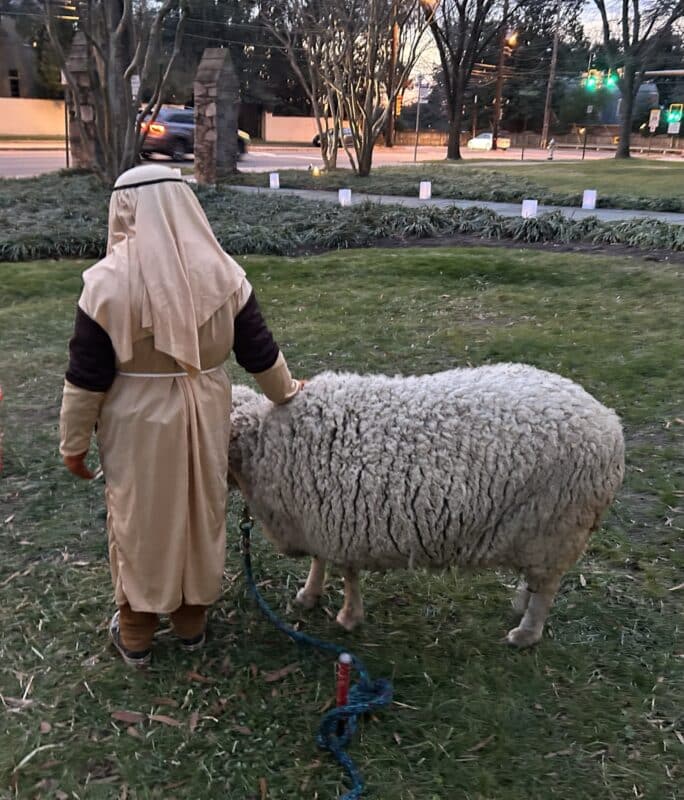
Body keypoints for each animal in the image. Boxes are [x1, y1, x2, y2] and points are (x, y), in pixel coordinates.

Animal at [230, 362, 624, 644]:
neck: (265, 443)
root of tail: (609, 422)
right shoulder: (318, 519)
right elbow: (320, 560)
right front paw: (309, 595)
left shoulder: (338, 523)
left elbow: (347, 573)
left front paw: (348, 617)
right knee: (536, 582)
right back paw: (519, 606)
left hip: (558, 527)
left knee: (547, 588)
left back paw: (525, 633)